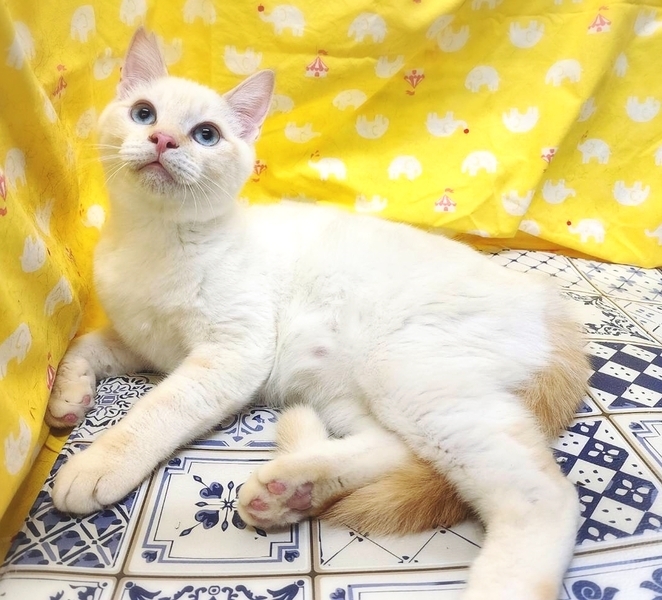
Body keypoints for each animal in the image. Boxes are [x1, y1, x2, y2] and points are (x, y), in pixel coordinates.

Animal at [46, 28, 589, 600]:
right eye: (144, 113)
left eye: (206, 135)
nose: (163, 140)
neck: (154, 241)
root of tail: (546, 300)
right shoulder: (143, 341)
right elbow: (84, 345)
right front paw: (68, 395)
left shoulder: (233, 352)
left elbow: (157, 410)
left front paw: (99, 462)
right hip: (347, 388)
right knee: (396, 448)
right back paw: (291, 488)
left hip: (407, 373)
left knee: (543, 496)